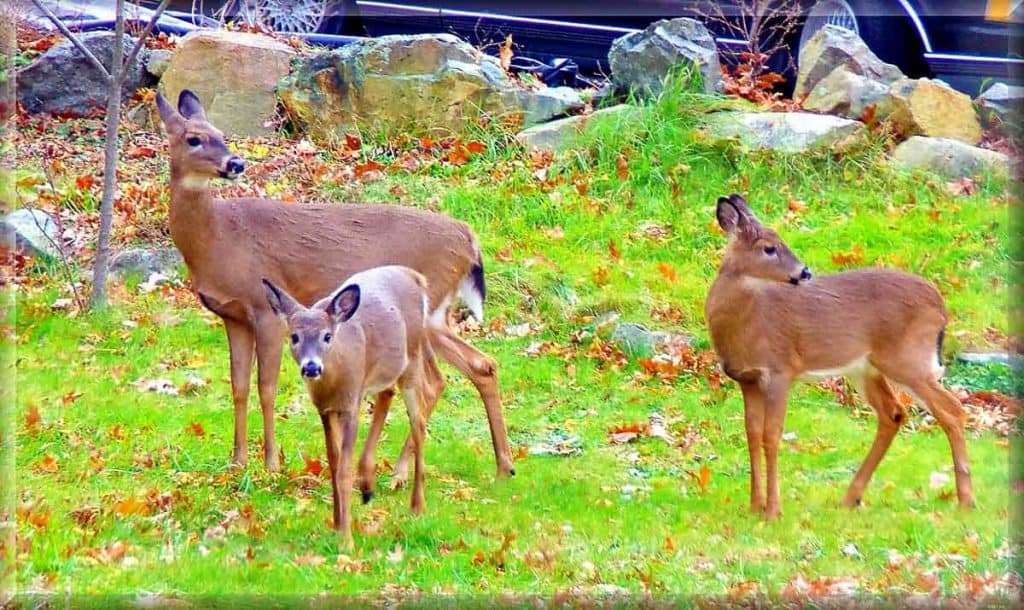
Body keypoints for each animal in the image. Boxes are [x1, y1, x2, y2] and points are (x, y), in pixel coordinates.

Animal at [155, 88, 516, 476]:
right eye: (194, 138)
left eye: (221, 134)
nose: (235, 163)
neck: (217, 238)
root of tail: (469, 239)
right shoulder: (233, 316)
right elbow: (238, 386)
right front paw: (237, 461)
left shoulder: (265, 309)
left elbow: (266, 387)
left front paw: (270, 464)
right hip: (437, 315)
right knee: (480, 365)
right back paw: (502, 466)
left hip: (422, 313)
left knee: (433, 380)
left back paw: (401, 472)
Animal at [256, 268, 436, 548]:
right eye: (294, 337)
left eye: (327, 336)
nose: (311, 367)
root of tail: (416, 277)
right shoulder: (326, 409)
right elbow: (333, 462)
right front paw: (337, 523)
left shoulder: (351, 403)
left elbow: (343, 469)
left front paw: (347, 540)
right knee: (387, 394)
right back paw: (368, 485)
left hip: (412, 358)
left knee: (419, 419)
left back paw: (417, 505)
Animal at [704, 194, 974, 519]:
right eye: (769, 248)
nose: (804, 272)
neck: (746, 325)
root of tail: (942, 308)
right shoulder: (747, 379)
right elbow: (753, 433)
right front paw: (755, 506)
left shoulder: (781, 369)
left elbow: (772, 435)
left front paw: (772, 511)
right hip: (866, 368)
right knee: (894, 413)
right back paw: (850, 498)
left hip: (908, 359)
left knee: (952, 409)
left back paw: (966, 500)